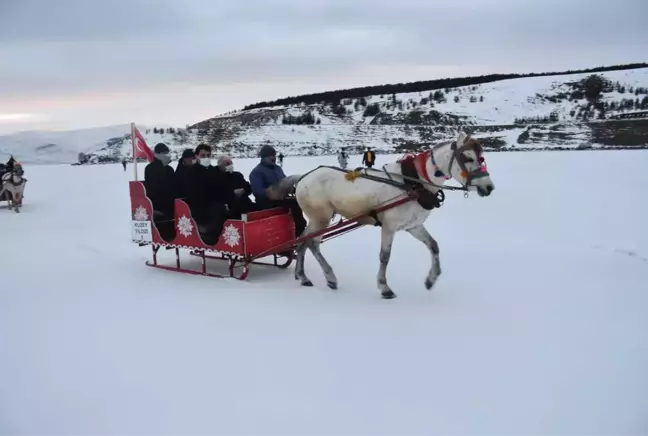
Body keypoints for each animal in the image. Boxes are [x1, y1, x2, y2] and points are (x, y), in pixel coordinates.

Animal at [266, 131, 498, 298]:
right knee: (312, 243)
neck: (413, 184)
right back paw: (330, 277)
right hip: (321, 217)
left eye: (481, 157)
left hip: (316, 219)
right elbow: (385, 256)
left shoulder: (413, 225)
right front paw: (384, 288)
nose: (489, 187)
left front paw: (431, 279)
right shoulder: (389, 226)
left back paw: (302, 275)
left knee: (302, 241)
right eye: (467, 158)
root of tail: (303, 177)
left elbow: (433, 245)